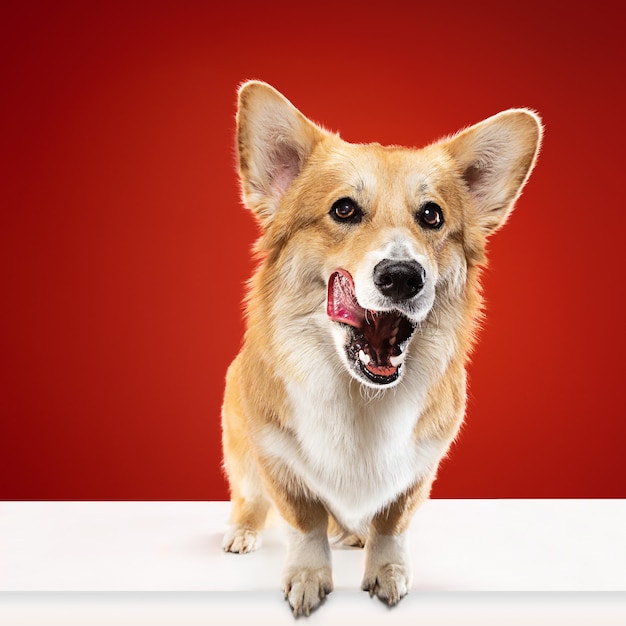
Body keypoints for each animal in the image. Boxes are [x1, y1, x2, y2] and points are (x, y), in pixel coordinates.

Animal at [221, 79, 540, 616]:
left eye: (432, 215)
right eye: (344, 209)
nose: (403, 276)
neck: (362, 397)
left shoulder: (418, 468)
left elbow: (391, 522)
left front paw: (386, 573)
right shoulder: (276, 456)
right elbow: (304, 521)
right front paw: (308, 578)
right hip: (241, 452)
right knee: (249, 499)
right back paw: (243, 533)